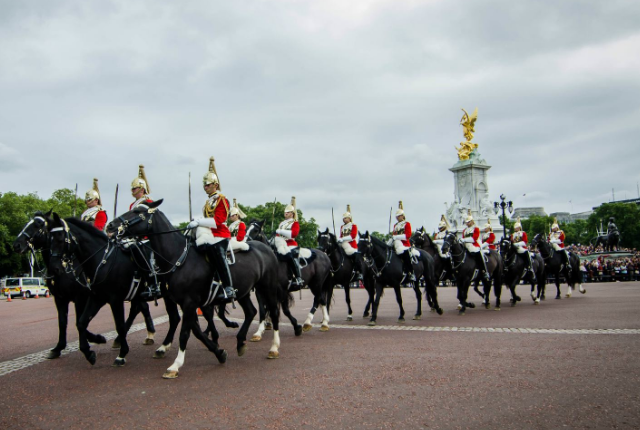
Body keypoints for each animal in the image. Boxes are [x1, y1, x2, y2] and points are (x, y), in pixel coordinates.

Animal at [106, 201, 282, 376]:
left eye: (137, 212)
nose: (110, 226)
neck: (178, 258)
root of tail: (266, 249)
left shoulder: (190, 302)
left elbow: (185, 333)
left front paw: (175, 365)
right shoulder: (187, 303)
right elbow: (196, 330)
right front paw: (219, 353)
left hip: (267, 287)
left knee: (273, 311)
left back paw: (273, 348)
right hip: (243, 291)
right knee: (251, 311)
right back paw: (240, 343)